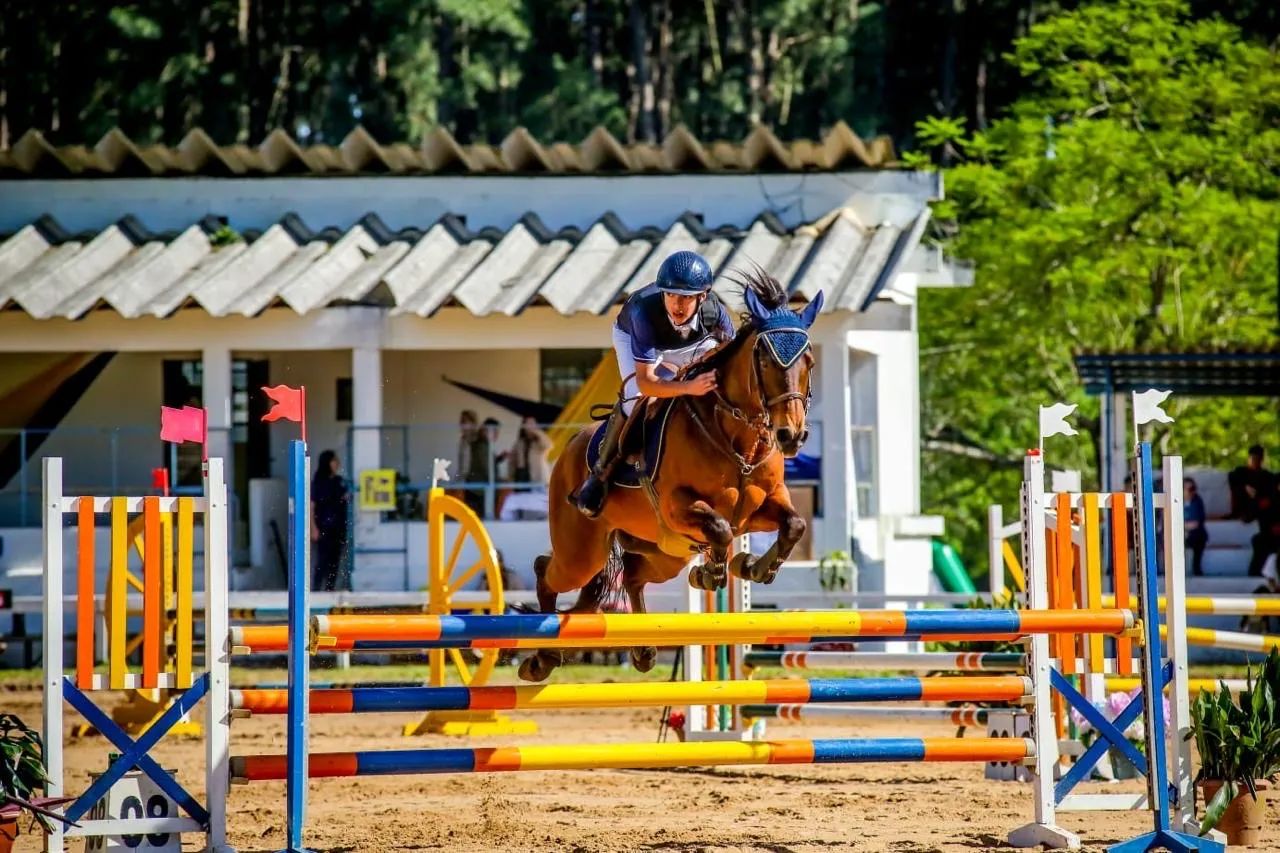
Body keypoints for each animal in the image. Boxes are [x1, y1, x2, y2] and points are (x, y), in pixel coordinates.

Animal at [517, 269, 823, 682]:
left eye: (808, 360)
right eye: (764, 360)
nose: (791, 436)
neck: (737, 440)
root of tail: (568, 450)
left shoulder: (761, 507)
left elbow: (794, 525)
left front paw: (753, 567)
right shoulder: (680, 507)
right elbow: (720, 529)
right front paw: (714, 572)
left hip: (665, 552)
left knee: (632, 574)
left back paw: (643, 650)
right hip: (581, 553)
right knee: (547, 570)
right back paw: (543, 658)